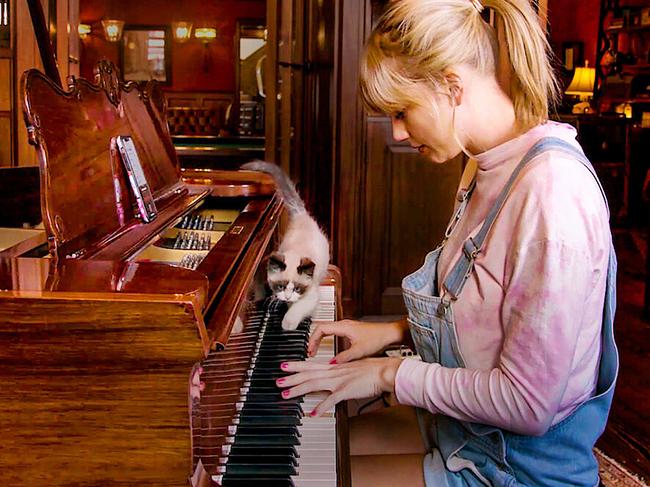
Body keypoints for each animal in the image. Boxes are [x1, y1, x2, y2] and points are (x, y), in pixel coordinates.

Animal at [240, 162, 330, 330]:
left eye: (297, 288)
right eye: (280, 287)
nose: (287, 297)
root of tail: (301, 215)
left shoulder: (310, 295)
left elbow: (297, 308)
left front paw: (288, 324)